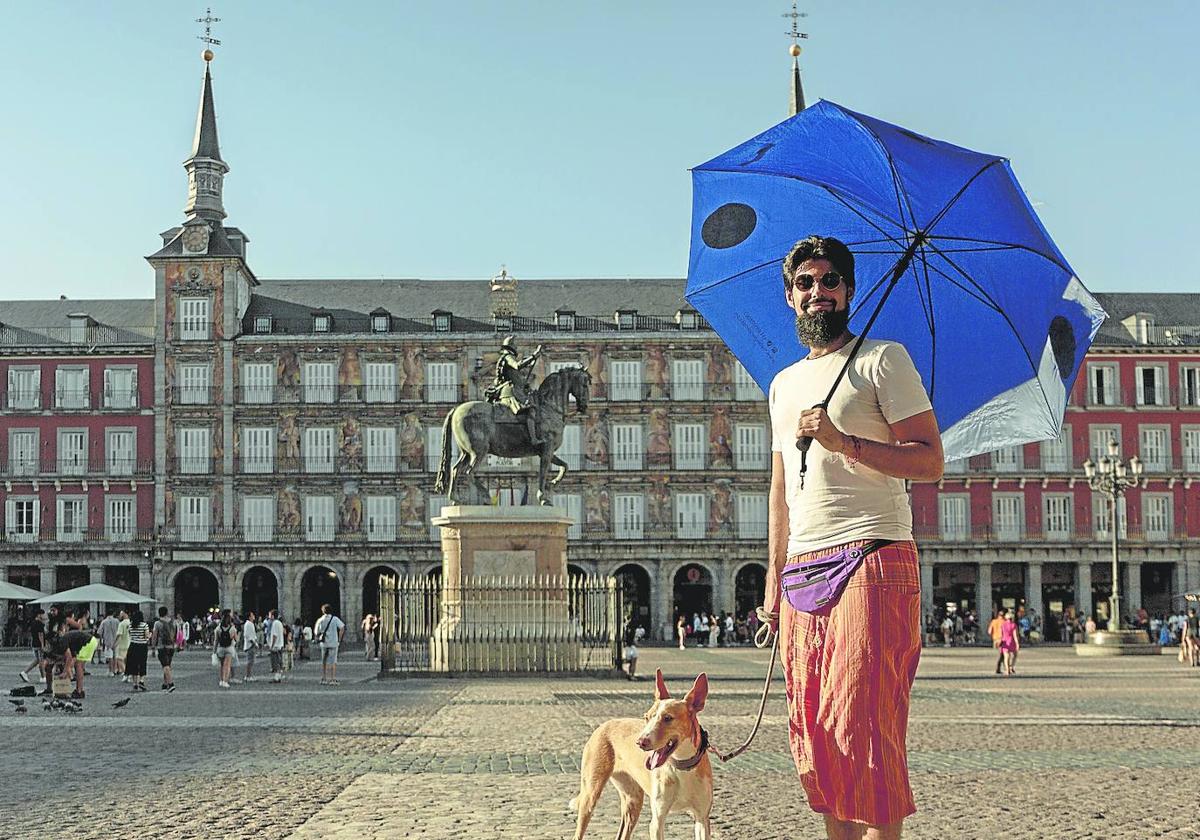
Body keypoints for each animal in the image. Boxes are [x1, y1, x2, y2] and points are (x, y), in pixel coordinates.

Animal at [571, 667, 710, 840]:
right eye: (646, 717)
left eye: (668, 718)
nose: (640, 742)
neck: (681, 767)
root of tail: (604, 724)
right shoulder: (657, 820)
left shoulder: (702, 819)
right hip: (590, 796)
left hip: (633, 802)